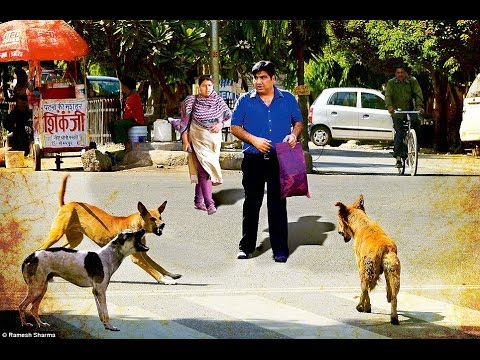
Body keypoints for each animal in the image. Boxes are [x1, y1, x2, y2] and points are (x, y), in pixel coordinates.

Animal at [36, 173, 181, 286]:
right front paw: (166, 280)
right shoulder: (137, 258)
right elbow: (154, 270)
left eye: (160, 217)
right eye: (152, 219)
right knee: (40, 248)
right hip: (56, 234)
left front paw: (171, 274)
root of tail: (66, 205)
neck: (135, 225)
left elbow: (157, 265)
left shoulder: (143, 253)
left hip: (75, 239)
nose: (163, 225)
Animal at [336, 195, 400, 324]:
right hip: (393, 272)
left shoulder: (360, 265)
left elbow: (365, 290)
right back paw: (394, 317)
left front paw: (366, 307)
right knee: (394, 297)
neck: (361, 223)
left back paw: (360, 306)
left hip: (366, 271)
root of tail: (385, 248)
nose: (338, 231)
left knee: (365, 288)